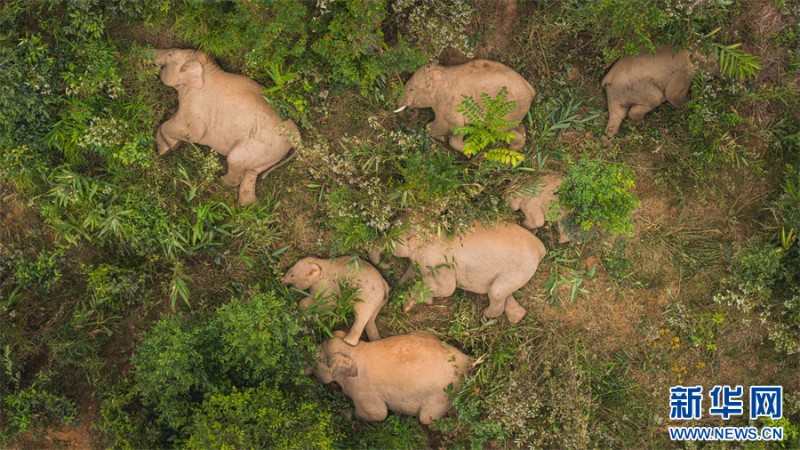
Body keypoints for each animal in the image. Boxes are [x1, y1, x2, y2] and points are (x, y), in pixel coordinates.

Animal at [152, 48, 296, 205]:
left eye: (170, 54)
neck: (207, 69)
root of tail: (296, 136)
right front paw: (168, 147)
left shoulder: (197, 103)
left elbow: (190, 132)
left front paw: (165, 150)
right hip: (270, 153)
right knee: (252, 172)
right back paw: (247, 205)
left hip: (263, 145)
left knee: (235, 159)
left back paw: (221, 181)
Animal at [312, 328, 472, 424]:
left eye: (321, 358)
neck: (352, 351)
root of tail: (466, 360)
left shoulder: (364, 394)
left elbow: (379, 413)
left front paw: (345, 414)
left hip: (443, 397)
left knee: (426, 418)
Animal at [370, 221, 548, 324]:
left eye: (392, 237)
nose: (388, 262)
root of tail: (541, 247)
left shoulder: (435, 258)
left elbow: (447, 288)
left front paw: (409, 304)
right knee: (504, 292)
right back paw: (516, 316)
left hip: (521, 267)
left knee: (496, 292)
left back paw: (486, 315)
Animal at [396, 59, 536, 152]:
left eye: (412, 89)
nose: (411, 113)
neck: (442, 70)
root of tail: (531, 89)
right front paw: (443, 138)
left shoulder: (450, 102)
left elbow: (453, 126)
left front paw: (469, 151)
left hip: (509, 109)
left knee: (501, 130)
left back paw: (512, 149)